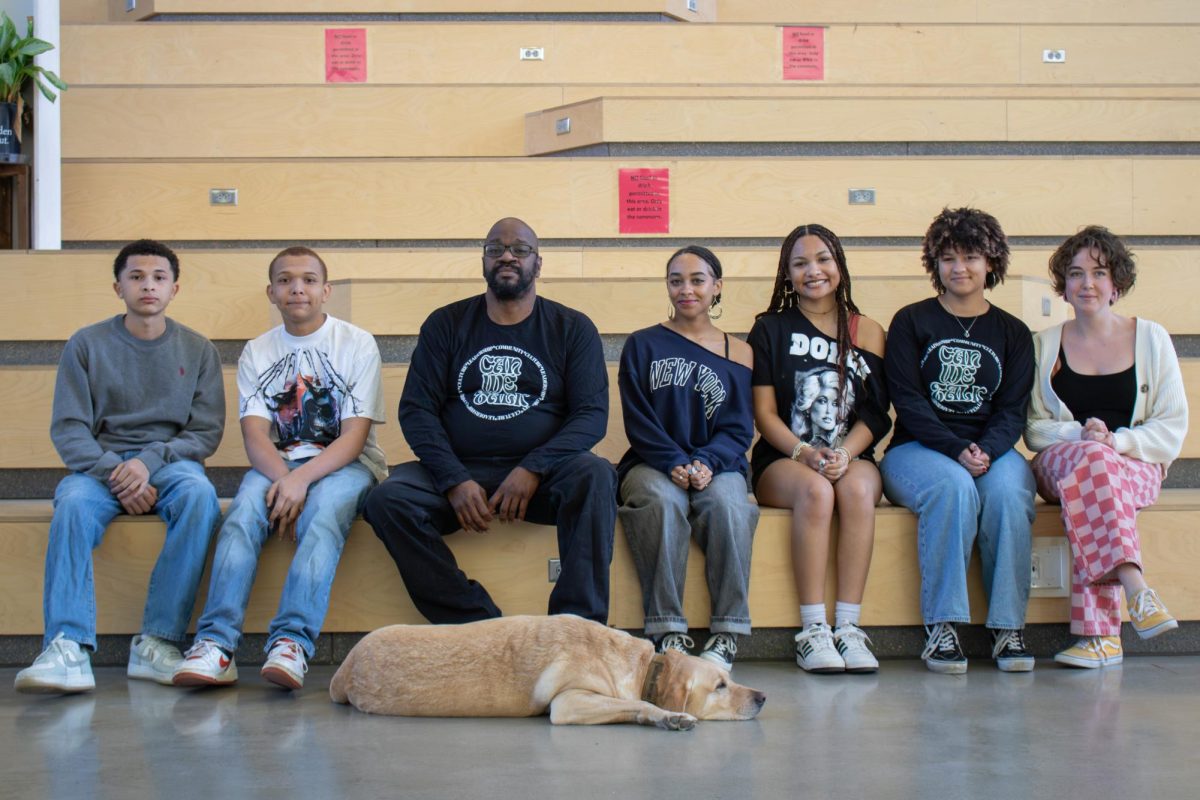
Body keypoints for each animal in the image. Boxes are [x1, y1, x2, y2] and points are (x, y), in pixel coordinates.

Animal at [328, 614, 763, 734]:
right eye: (720, 685)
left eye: (729, 678)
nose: (762, 697)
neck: (644, 669)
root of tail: (345, 667)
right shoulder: (568, 702)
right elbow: (639, 704)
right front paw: (670, 716)